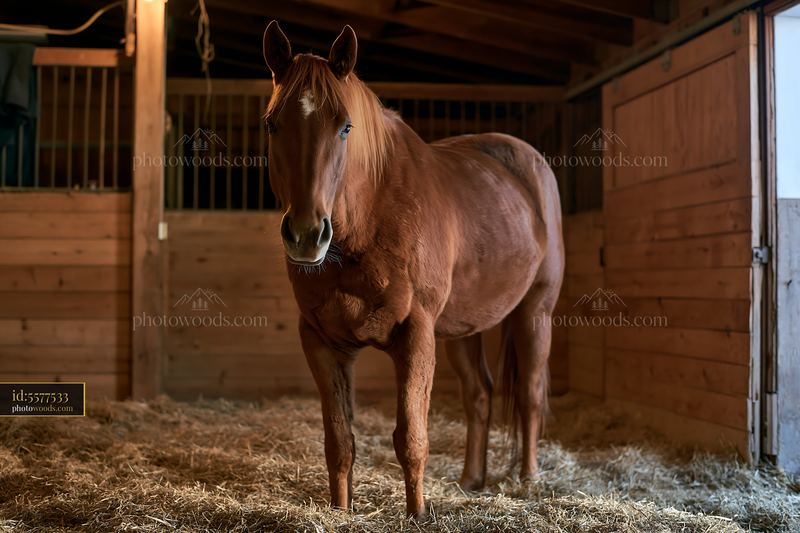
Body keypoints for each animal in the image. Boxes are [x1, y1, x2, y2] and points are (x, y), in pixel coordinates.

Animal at [262, 21, 564, 518]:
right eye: (272, 124)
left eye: (345, 126)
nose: (306, 235)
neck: (368, 220)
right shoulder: (322, 342)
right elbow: (339, 440)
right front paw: (340, 510)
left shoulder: (416, 334)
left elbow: (411, 437)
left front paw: (418, 513)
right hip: (463, 328)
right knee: (479, 394)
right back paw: (471, 481)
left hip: (534, 312)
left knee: (531, 393)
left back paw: (528, 480)